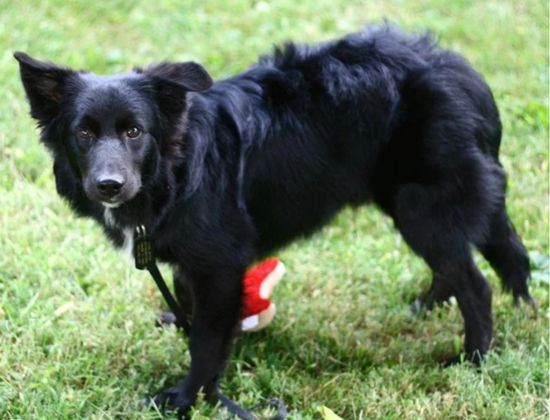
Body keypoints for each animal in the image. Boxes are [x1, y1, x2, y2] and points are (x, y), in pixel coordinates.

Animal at [16, 25, 536, 414]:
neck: (174, 170)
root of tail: (460, 70)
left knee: (475, 285)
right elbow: (195, 313)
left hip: (423, 207)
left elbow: (205, 339)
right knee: (468, 263)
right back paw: (434, 307)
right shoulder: (195, 262)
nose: (108, 185)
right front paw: (196, 340)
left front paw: (188, 397)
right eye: (84, 133)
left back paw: (470, 359)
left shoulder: (219, 262)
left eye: (134, 132)